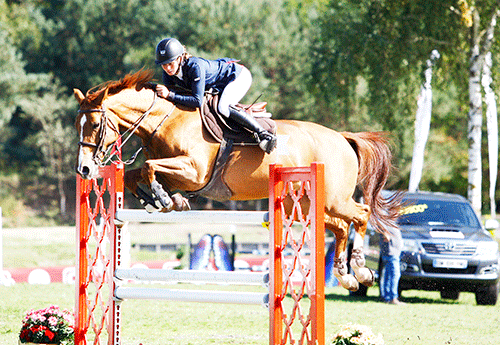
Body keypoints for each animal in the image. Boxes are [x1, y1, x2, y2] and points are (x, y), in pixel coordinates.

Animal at [74, 69, 400, 290]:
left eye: (95, 124)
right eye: (78, 123)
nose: (85, 170)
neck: (165, 120)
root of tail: (343, 138)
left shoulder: (194, 172)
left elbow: (150, 168)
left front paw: (163, 198)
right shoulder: (180, 173)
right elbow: (135, 174)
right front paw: (160, 201)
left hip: (334, 198)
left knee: (361, 215)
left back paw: (361, 271)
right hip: (306, 205)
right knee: (341, 226)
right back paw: (346, 277)